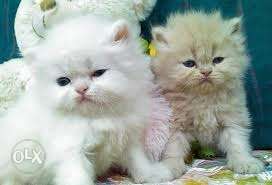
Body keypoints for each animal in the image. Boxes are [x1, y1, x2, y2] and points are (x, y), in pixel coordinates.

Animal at [0, 15, 173, 184]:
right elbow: (77, 176)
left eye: (98, 73)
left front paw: (153, 175)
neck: (97, 117)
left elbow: (138, 161)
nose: (81, 89)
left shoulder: (128, 140)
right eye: (63, 81)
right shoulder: (71, 151)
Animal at [151, 11, 264, 176]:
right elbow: (173, 148)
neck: (202, 97)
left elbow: (237, 142)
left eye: (217, 60)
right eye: (189, 63)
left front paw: (244, 162)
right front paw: (170, 166)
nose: (206, 72)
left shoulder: (232, 119)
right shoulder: (174, 124)